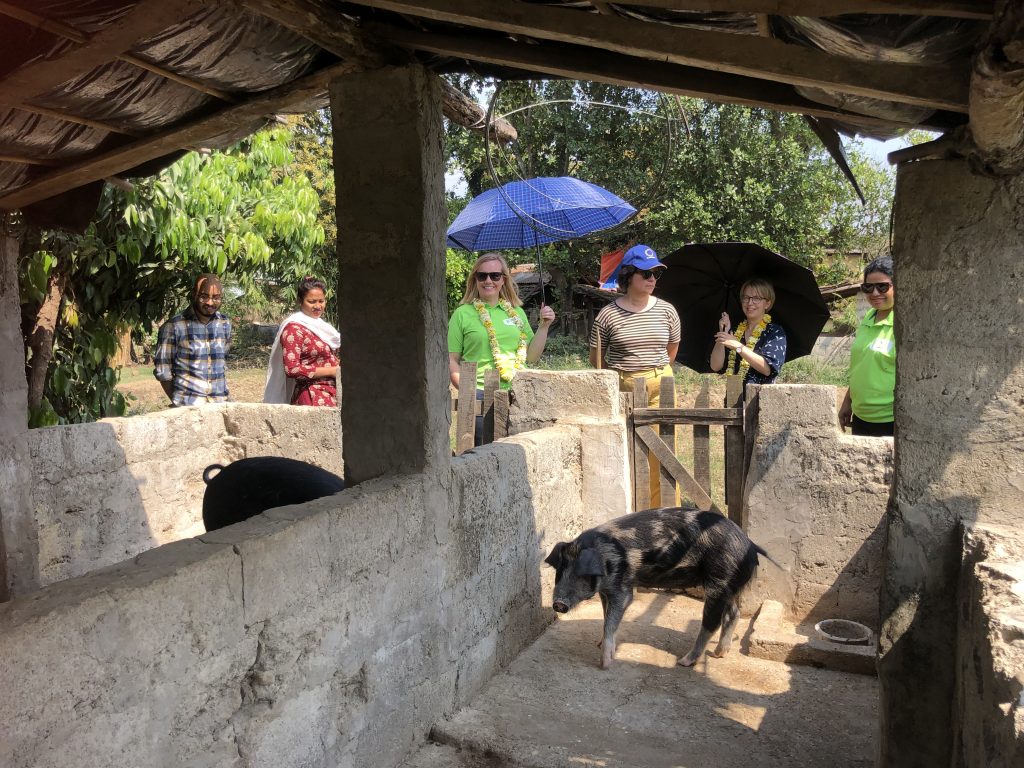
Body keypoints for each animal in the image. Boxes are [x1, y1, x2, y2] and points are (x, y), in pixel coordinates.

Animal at [544, 507, 770, 671]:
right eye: (560, 571)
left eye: (582, 573)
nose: (558, 604)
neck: (606, 558)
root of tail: (749, 545)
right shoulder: (605, 592)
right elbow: (606, 617)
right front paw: (599, 643)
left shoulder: (622, 587)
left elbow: (612, 619)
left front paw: (605, 663)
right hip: (729, 587)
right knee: (733, 613)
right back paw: (718, 654)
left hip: (719, 581)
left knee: (711, 623)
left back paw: (684, 662)